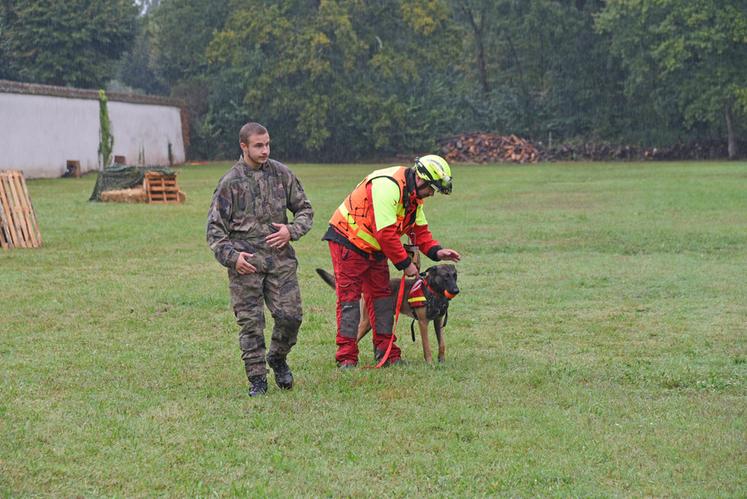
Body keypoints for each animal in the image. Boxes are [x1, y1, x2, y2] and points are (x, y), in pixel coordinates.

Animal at [314, 254, 458, 364]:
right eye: (445, 276)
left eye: (455, 275)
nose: (456, 290)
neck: (434, 292)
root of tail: (367, 288)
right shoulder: (423, 323)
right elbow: (426, 346)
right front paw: (430, 363)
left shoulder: (438, 322)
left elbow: (442, 343)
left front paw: (441, 361)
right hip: (365, 323)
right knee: (354, 338)